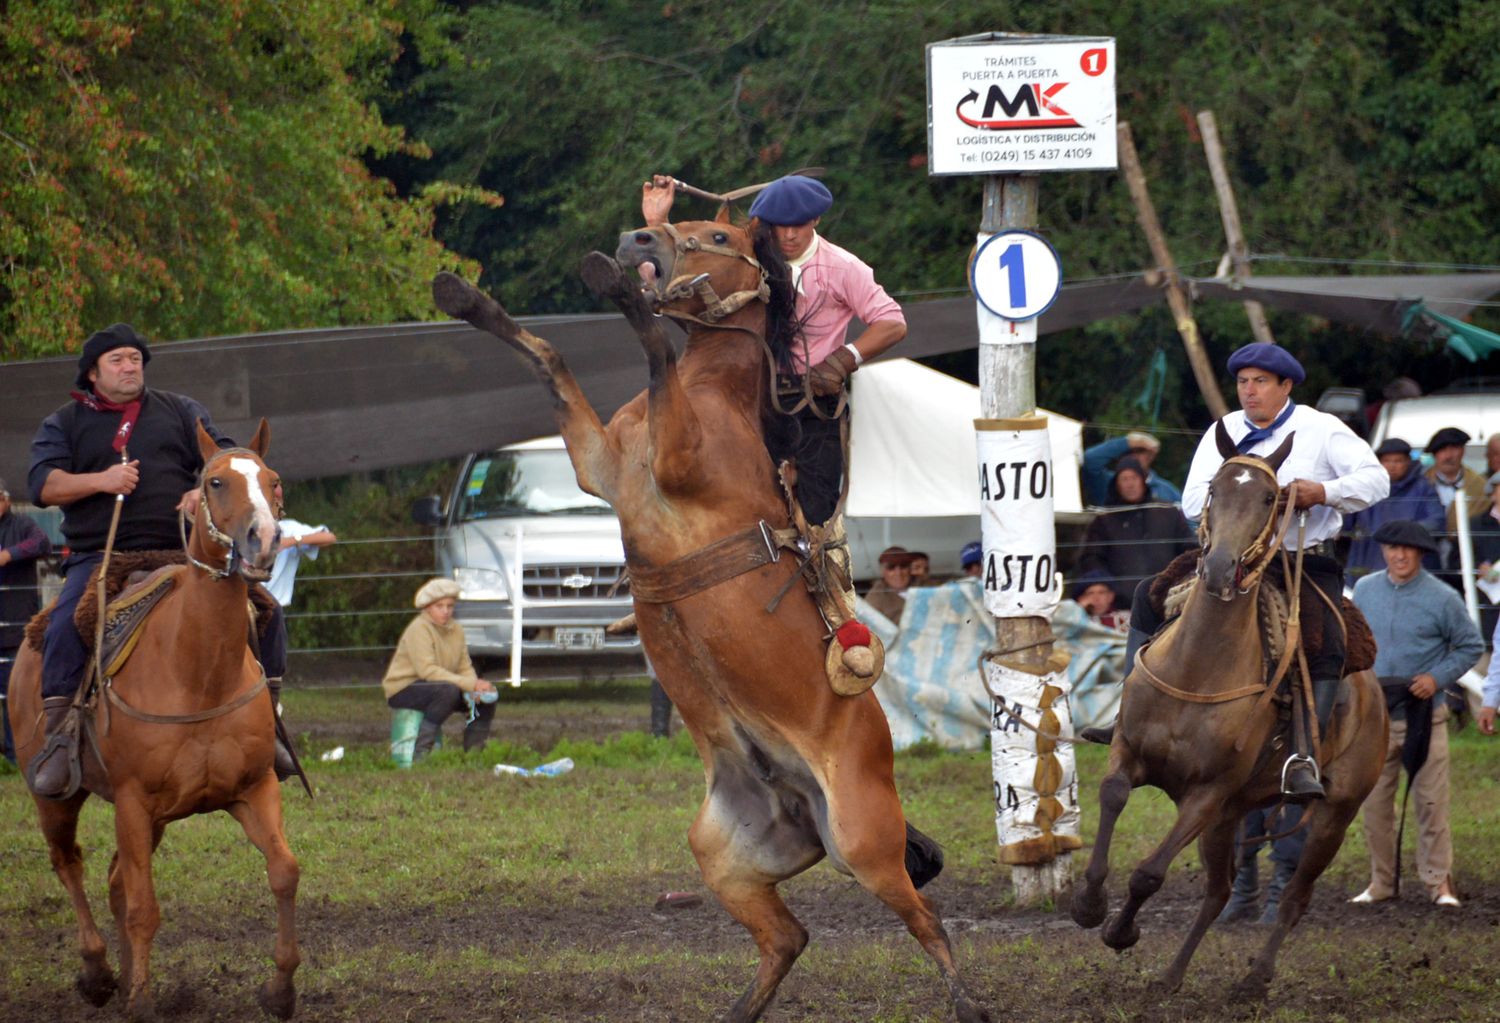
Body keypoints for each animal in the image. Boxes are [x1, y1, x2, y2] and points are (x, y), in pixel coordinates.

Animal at [7, 417, 300, 1020]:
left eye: (273, 480)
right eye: (214, 482)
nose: (263, 540)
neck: (198, 671)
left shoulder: (253, 788)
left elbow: (284, 872)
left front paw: (280, 989)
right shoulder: (134, 801)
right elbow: (145, 907)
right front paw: (140, 1000)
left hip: (155, 818)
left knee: (116, 879)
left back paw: (118, 977)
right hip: (57, 798)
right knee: (69, 863)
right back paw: (98, 973)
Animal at [429, 208, 990, 1020]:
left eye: (719, 238)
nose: (639, 240)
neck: (714, 394)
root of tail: (800, 802)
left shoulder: (677, 456)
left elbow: (651, 350)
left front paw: (617, 285)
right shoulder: (597, 463)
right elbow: (549, 358)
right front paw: (464, 297)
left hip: (864, 842)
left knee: (925, 916)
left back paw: (969, 1002)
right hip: (724, 854)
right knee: (788, 936)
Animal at [1074, 426, 1386, 1002]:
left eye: (1270, 498)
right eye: (1214, 489)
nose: (1219, 568)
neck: (1198, 668)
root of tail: (1374, 692)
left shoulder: (1208, 794)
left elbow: (1149, 873)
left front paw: (1121, 932)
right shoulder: (1132, 754)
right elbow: (1113, 795)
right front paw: (1088, 905)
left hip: (1333, 814)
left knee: (1295, 899)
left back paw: (1254, 980)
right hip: (1232, 815)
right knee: (1218, 892)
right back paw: (1172, 975)